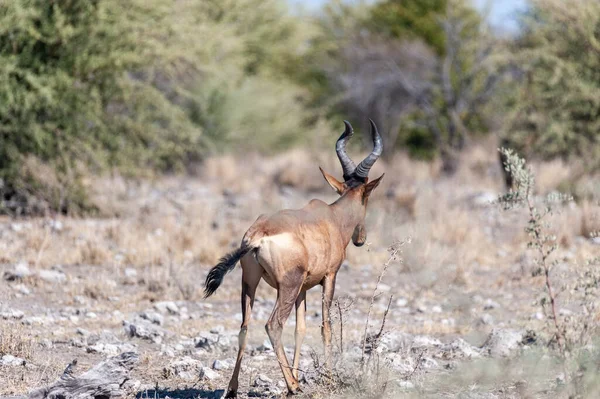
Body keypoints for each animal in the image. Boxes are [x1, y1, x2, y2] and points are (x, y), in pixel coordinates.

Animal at [205, 120, 384, 398]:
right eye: (367, 198)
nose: (360, 239)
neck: (332, 217)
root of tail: (257, 235)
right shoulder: (329, 278)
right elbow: (325, 327)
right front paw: (327, 379)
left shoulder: (303, 288)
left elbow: (300, 330)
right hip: (286, 286)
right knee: (273, 325)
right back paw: (293, 385)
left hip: (250, 282)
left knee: (244, 326)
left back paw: (234, 389)